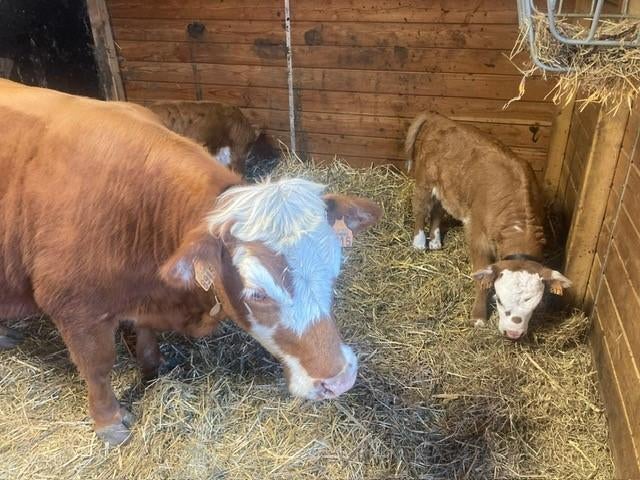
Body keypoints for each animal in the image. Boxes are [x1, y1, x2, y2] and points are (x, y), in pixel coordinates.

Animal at [405, 111, 571, 340]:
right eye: (499, 300)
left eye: (534, 304)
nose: (513, 333)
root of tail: (439, 117)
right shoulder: (477, 236)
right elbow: (481, 280)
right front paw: (478, 317)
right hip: (424, 179)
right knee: (420, 208)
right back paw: (420, 242)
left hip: (447, 189)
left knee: (438, 208)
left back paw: (436, 240)